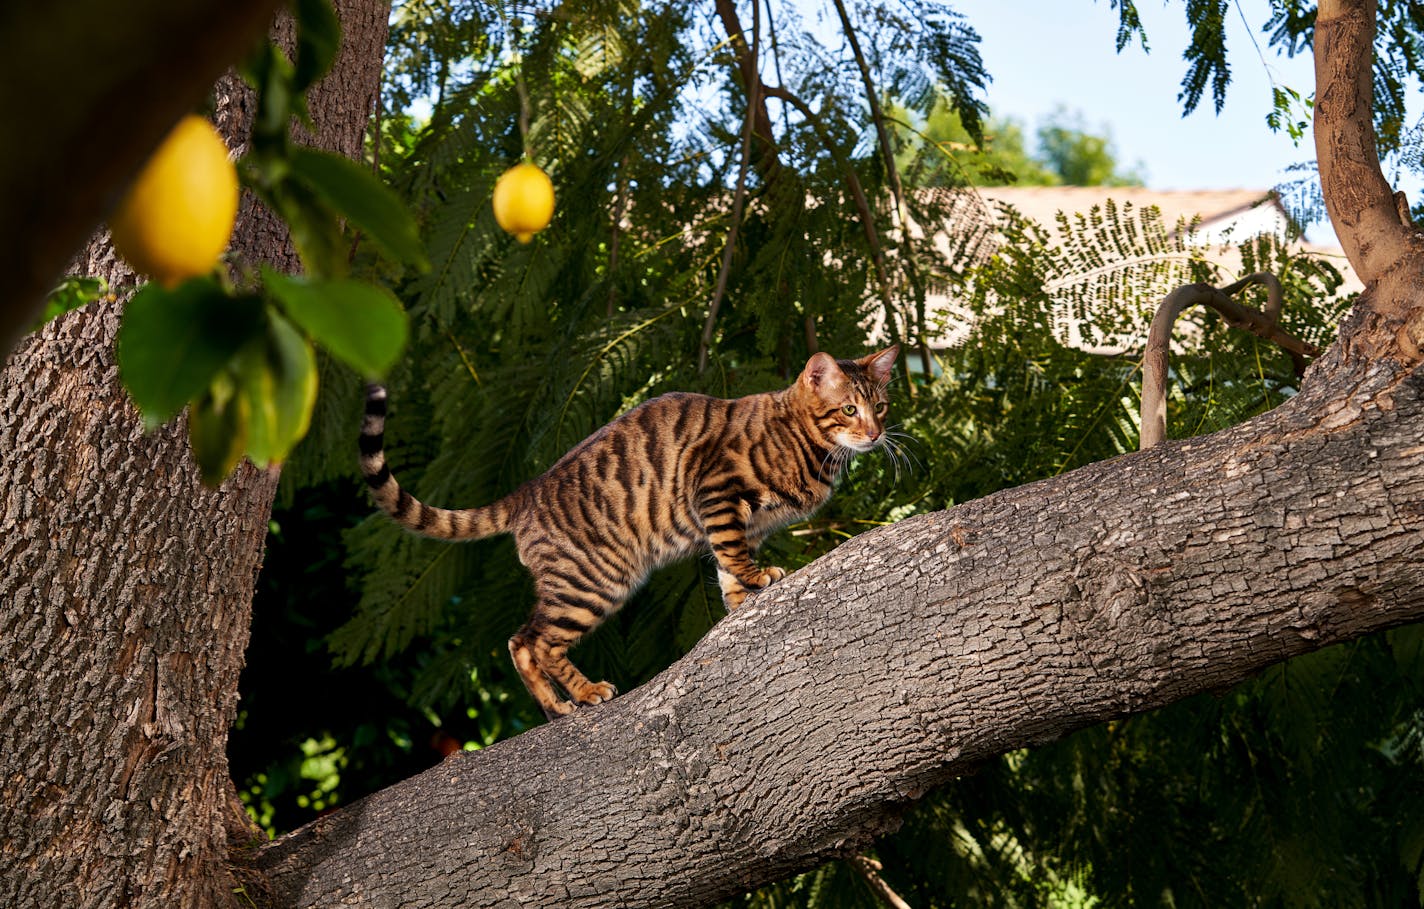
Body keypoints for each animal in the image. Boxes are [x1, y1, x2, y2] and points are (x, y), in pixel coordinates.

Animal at [361, 344, 894, 723]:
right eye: (849, 410)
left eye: (882, 407)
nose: (874, 434)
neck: (808, 442)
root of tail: (527, 492)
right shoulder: (716, 488)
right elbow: (732, 551)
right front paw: (757, 579)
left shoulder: (747, 521)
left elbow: (727, 566)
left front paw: (741, 600)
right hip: (596, 580)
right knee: (537, 641)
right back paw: (585, 692)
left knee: (520, 641)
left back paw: (556, 706)